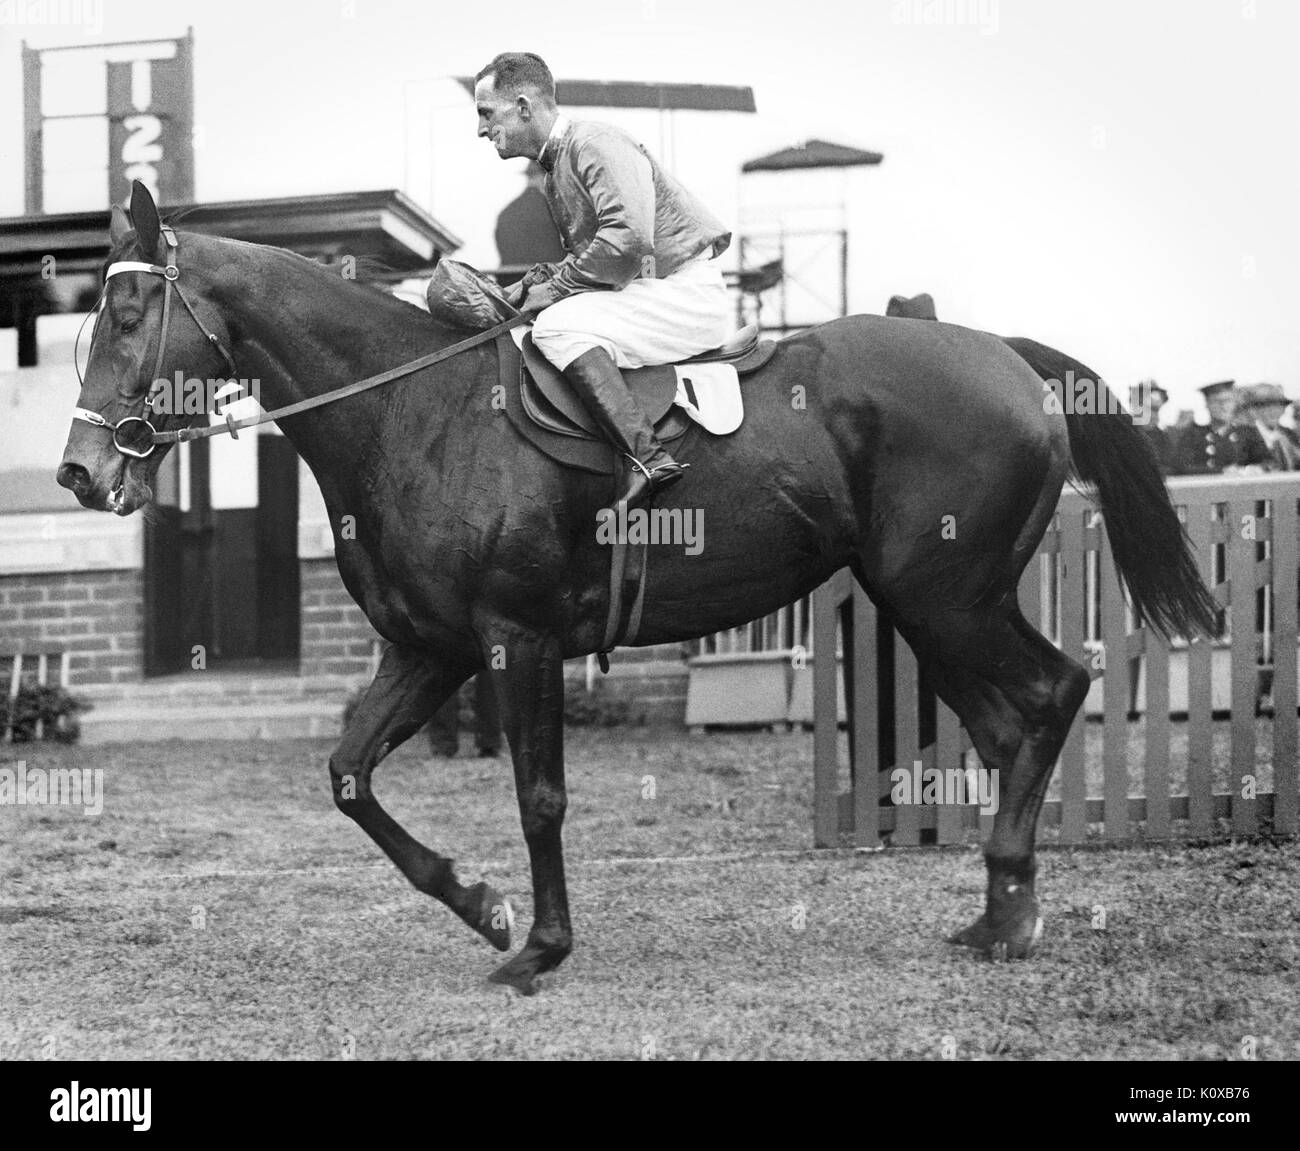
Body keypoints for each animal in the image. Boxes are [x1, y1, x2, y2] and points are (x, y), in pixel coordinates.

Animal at [61, 184, 1216, 993]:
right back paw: (1000, 909)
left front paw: (539, 944)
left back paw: (1011, 903)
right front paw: (481, 902)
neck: (413, 412)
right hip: (930, 606)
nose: (80, 470)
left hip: (947, 598)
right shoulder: (429, 651)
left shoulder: (514, 640)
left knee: (1052, 693)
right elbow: (350, 776)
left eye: (130, 309)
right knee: (1012, 718)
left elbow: (539, 797)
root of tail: (1006, 357)